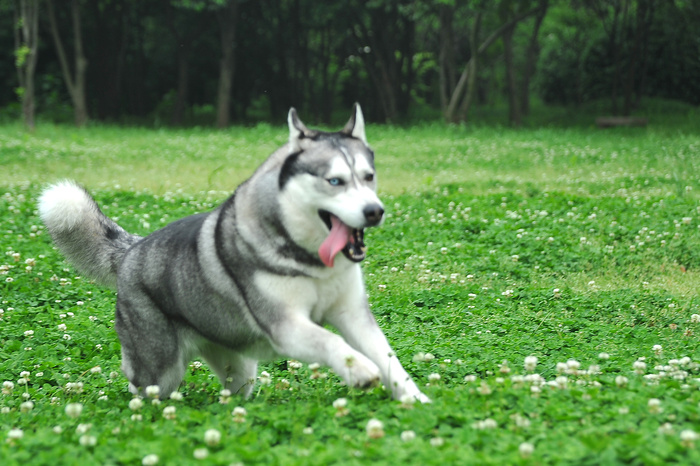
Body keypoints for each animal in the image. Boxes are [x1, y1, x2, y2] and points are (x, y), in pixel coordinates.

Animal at [41, 104, 430, 402]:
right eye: (335, 181)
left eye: (369, 176)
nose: (374, 211)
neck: (311, 261)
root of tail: (133, 248)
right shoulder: (286, 325)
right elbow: (331, 340)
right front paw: (360, 370)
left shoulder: (353, 315)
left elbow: (390, 360)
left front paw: (416, 401)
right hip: (159, 370)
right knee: (142, 388)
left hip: (240, 367)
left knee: (234, 393)